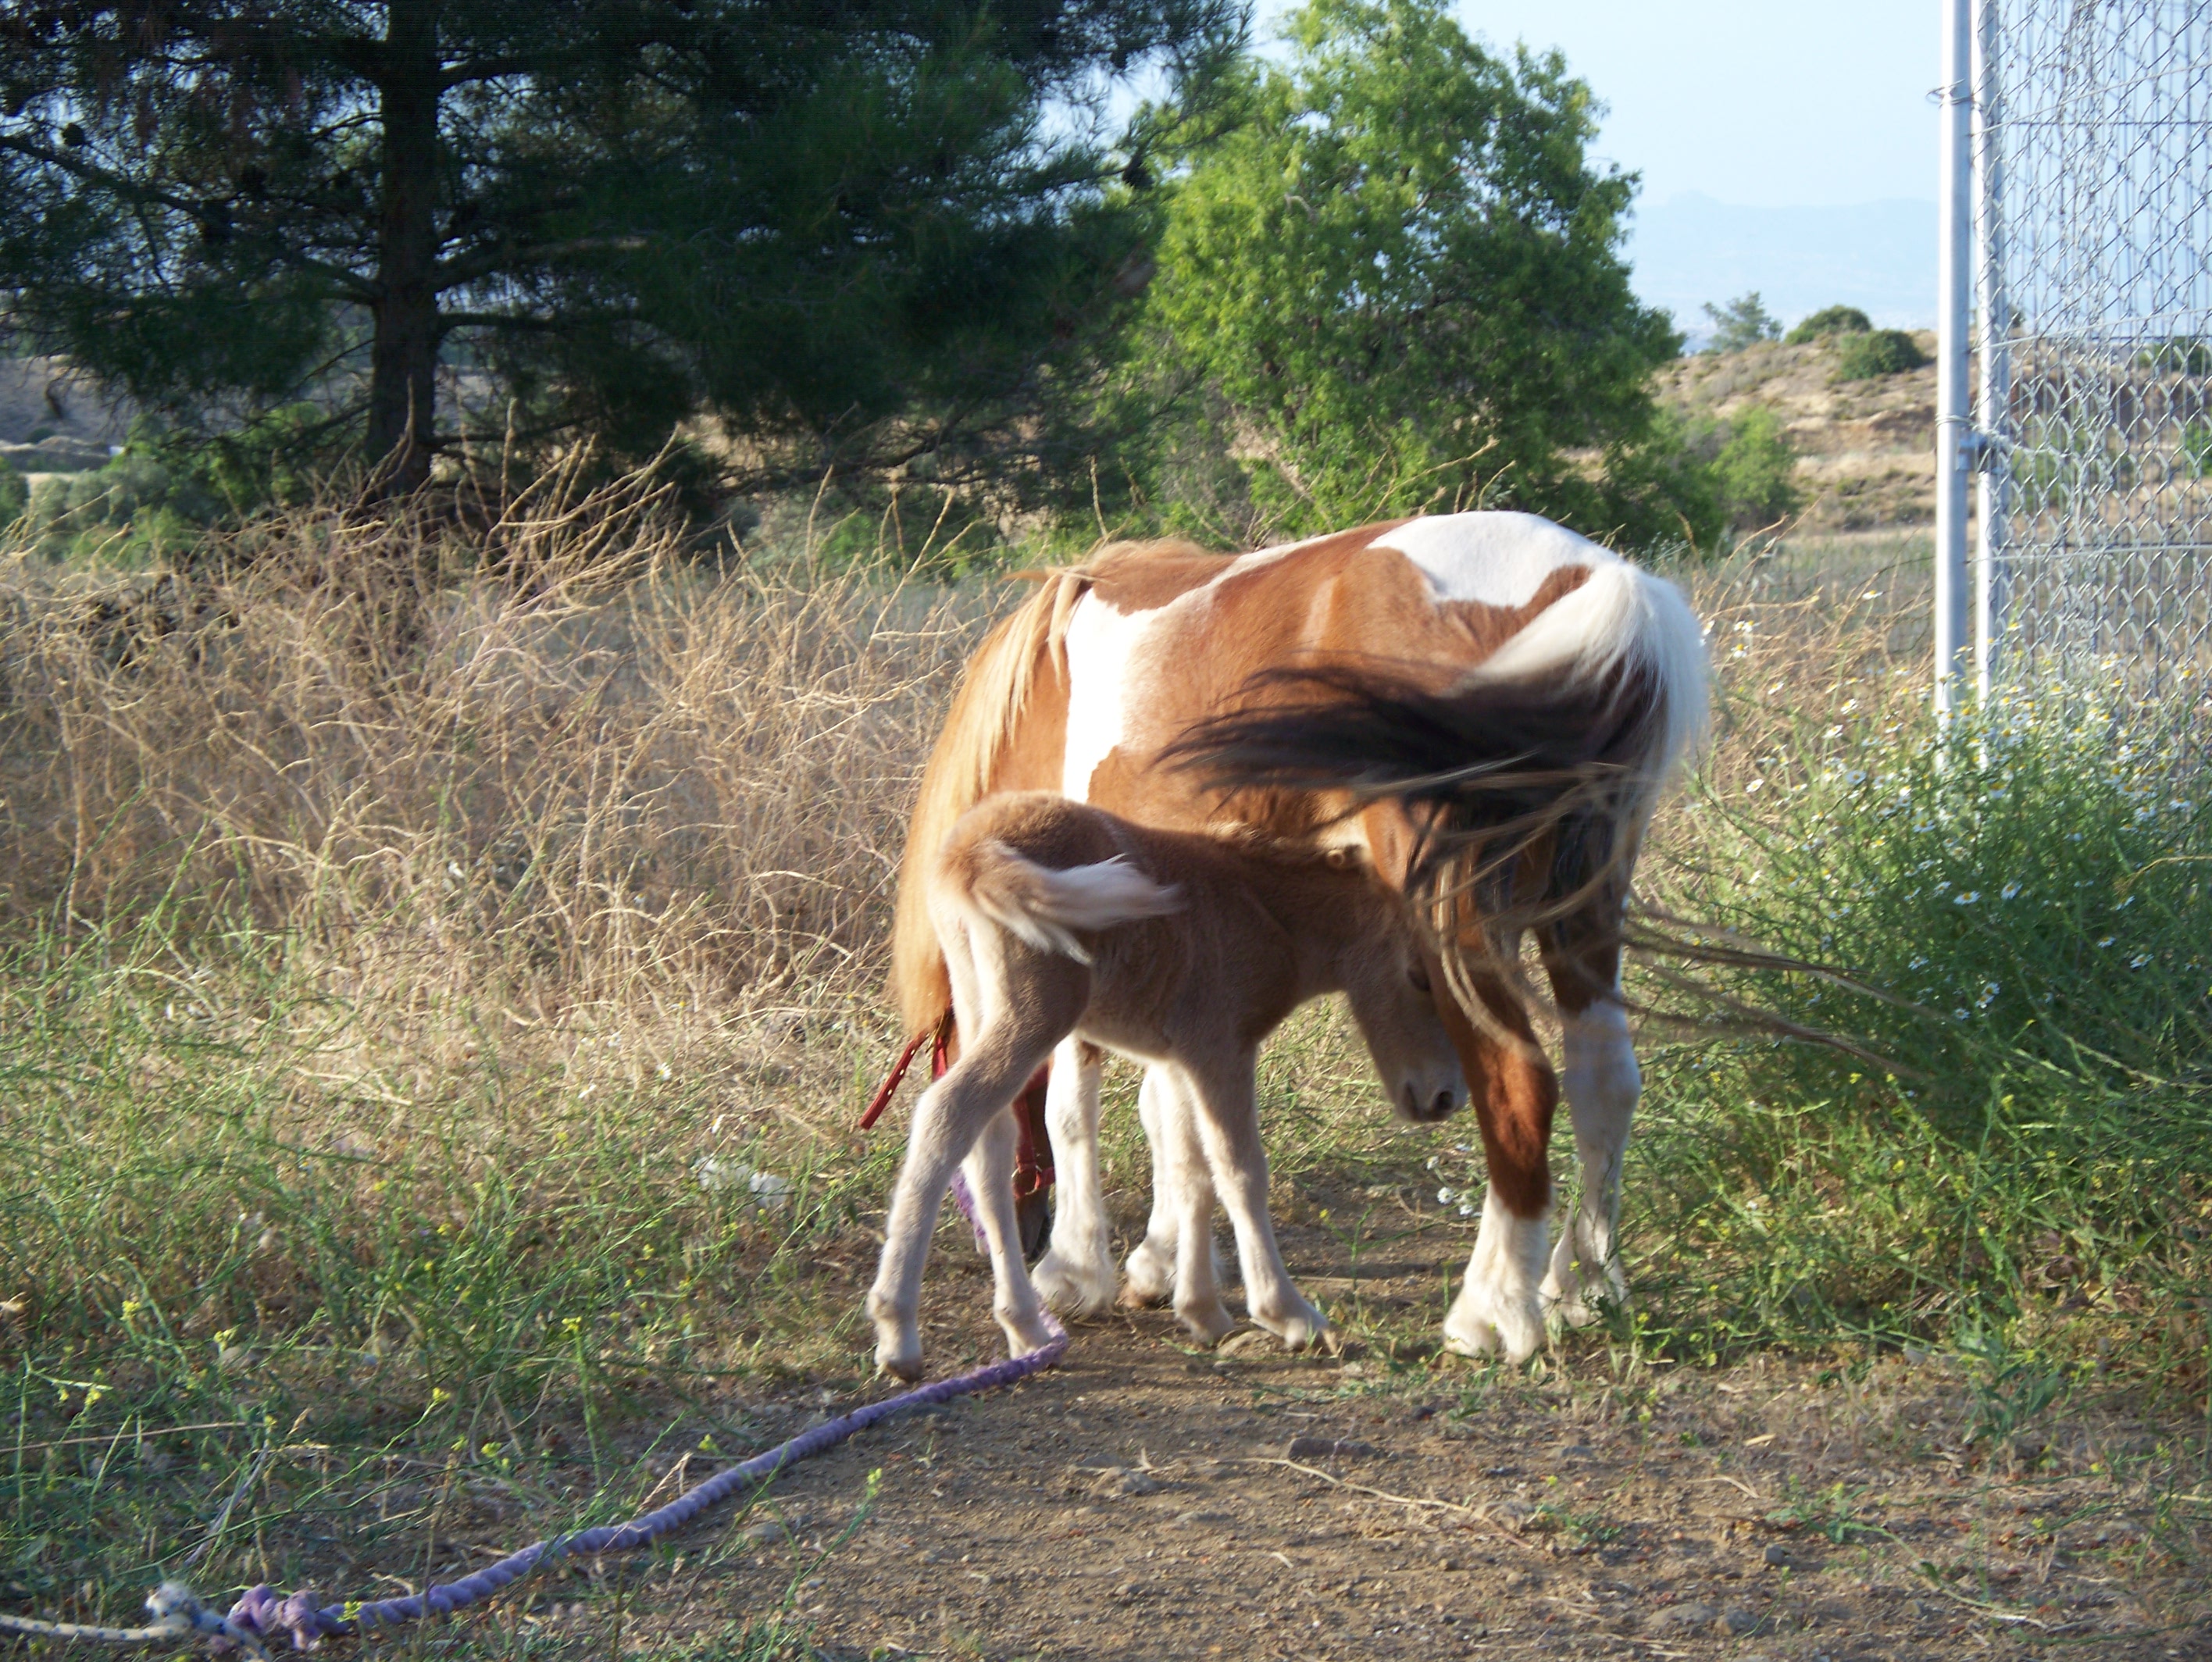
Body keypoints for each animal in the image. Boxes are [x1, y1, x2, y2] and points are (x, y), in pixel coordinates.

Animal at [867, 791, 1464, 1380]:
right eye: (1419, 976)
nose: (1445, 1098)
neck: (1264, 912)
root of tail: (970, 851)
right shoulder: (1220, 1047)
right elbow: (1240, 1171)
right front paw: (1289, 1314)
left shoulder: (1180, 1060)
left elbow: (1189, 1169)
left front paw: (1201, 1311)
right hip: (1035, 1013)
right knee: (948, 1112)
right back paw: (899, 1332)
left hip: (976, 1003)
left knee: (988, 1142)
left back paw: (1026, 1328)